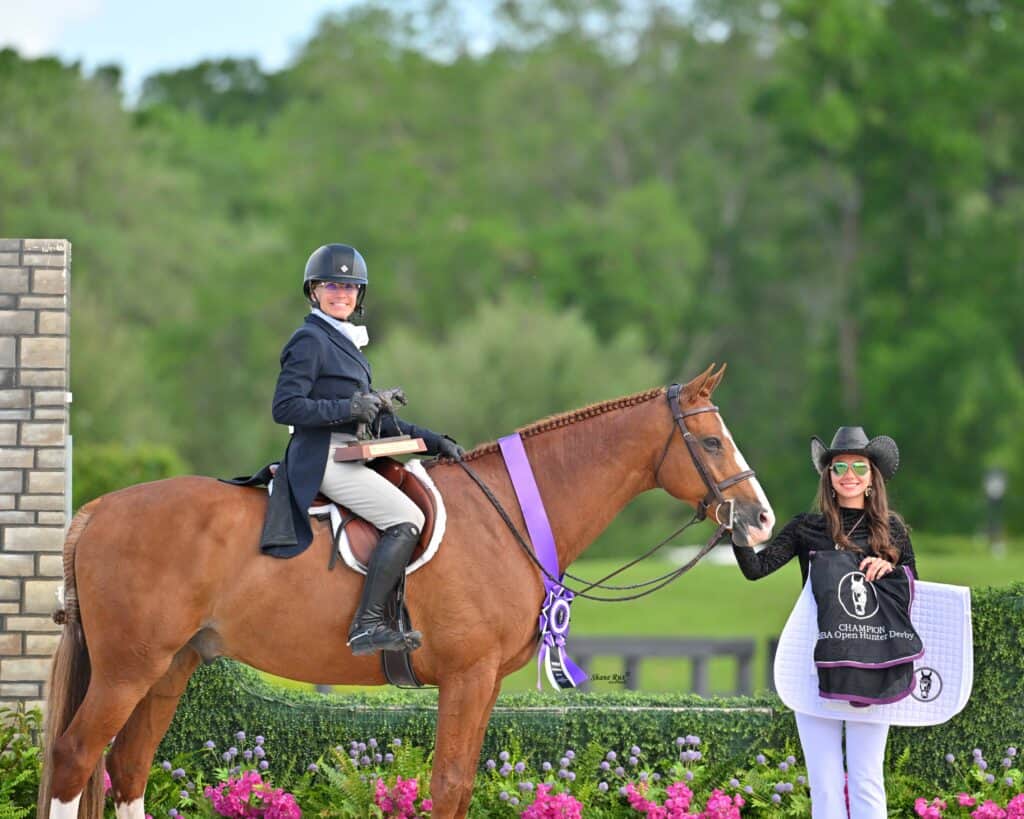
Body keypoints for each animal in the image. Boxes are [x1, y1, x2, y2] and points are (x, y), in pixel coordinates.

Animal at [38, 363, 775, 819]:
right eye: (711, 441)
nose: (761, 518)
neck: (507, 512)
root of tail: (98, 509)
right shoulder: (467, 676)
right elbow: (446, 786)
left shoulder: (481, 683)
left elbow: (460, 785)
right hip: (128, 668)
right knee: (76, 758)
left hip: (173, 665)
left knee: (129, 766)